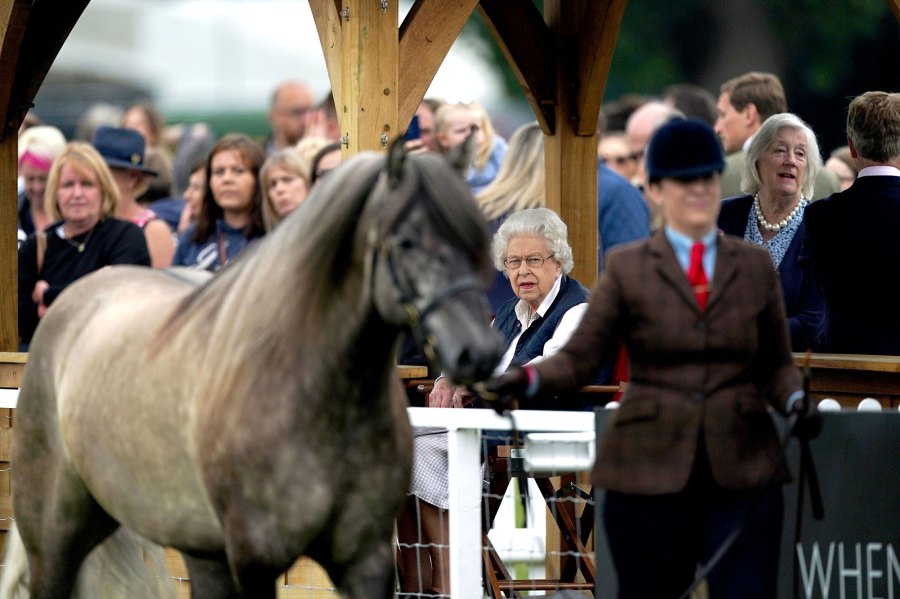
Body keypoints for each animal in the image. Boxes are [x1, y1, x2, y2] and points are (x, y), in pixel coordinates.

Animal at [3, 139, 503, 598]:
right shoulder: (255, 558)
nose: (478, 352)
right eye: (405, 240)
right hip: (54, 541)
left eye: (475, 239)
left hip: (200, 546)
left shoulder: (367, 559)